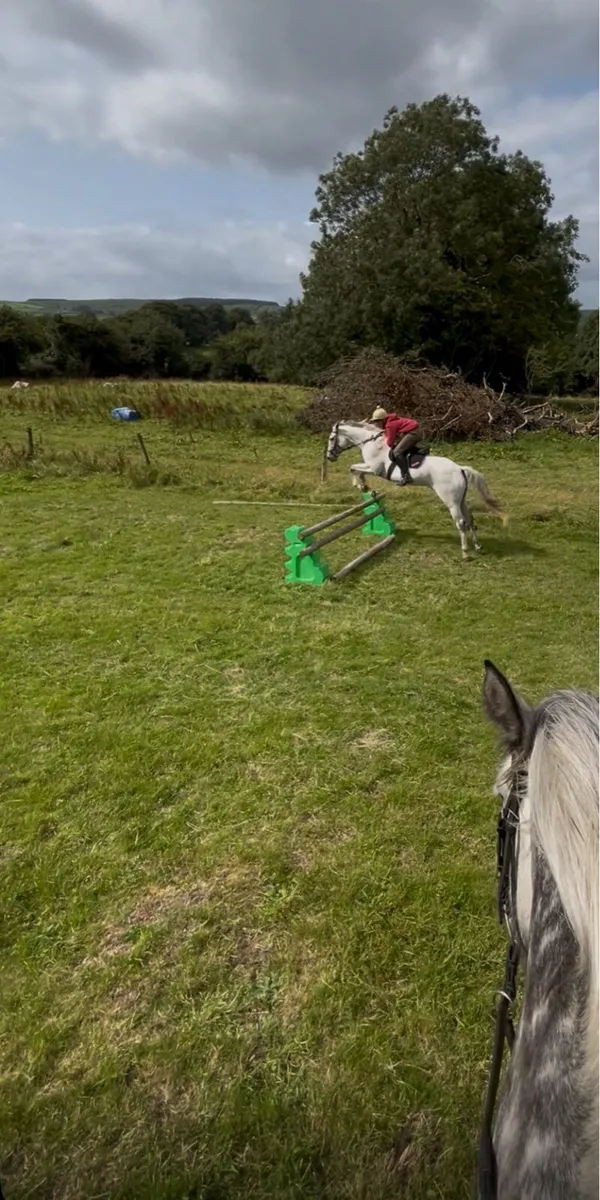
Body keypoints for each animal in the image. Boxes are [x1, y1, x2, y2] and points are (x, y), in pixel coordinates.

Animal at [325, 420, 506, 557]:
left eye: (332, 438)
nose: (329, 457)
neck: (372, 442)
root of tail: (460, 469)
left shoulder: (374, 468)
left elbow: (352, 468)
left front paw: (360, 485)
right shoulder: (370, 468)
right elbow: (355, 469)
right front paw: (364, 486)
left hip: (451, 501)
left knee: (461, 522)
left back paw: (465, 552)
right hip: (461, 500)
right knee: (470, 519)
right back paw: (477, 546)